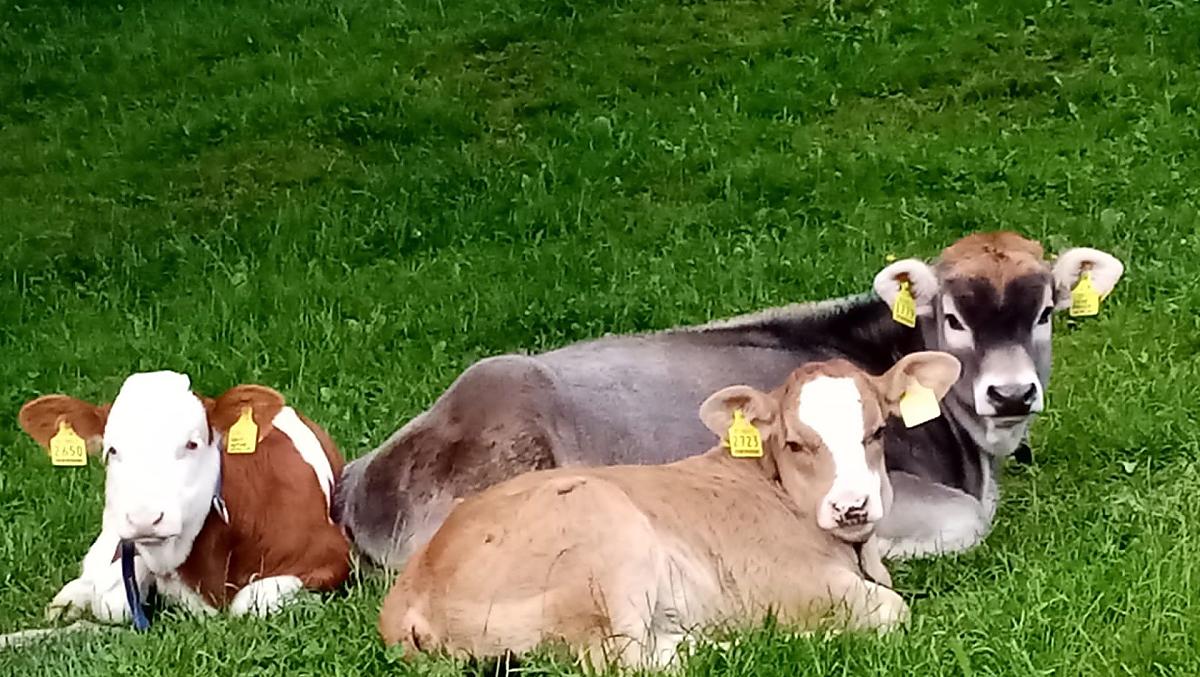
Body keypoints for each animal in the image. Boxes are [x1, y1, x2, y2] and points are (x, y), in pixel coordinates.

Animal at [18, 371, 352, 622]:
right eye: (111, 450)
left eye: (192, 444)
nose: (144, 519)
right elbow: (112, 599)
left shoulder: (332, 556)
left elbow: (250, 602)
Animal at [378, 352, 962, 669]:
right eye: (796, 443)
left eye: (877, 432)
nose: (851, 506)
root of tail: (410, 594)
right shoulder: (794, 584)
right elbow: (893, 610)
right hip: (604, 545)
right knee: (625, 660)